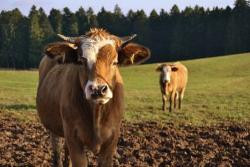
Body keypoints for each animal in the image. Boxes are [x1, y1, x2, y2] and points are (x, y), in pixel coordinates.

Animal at [36, 28, 150, 166]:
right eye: (81, 61)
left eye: (115, 62)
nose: (98, 89)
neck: (96, 114)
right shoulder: (73, 139)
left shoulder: (111, 141)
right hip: (54, 129)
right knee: (57, 152)